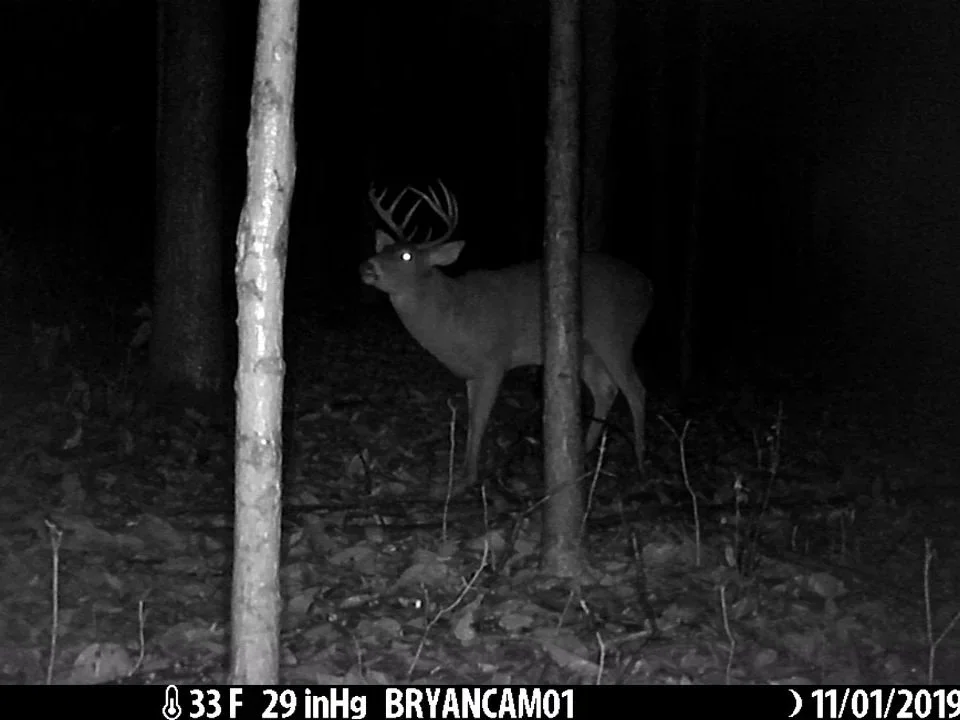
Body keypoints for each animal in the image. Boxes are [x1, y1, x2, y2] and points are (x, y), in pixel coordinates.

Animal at [360, 180, 653, 493]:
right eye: (383, 248)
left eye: (407, 255)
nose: (367, 267)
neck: (454, 317)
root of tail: (649, 287)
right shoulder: (471, 373)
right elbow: (471, 420)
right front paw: (463, 472)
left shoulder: (494, 360)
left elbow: (479, 420)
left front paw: (468, 478)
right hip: (586, 349)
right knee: (605, 388)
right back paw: (584, 457)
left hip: (616, 335)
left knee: (636, 390)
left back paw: (640, 463)